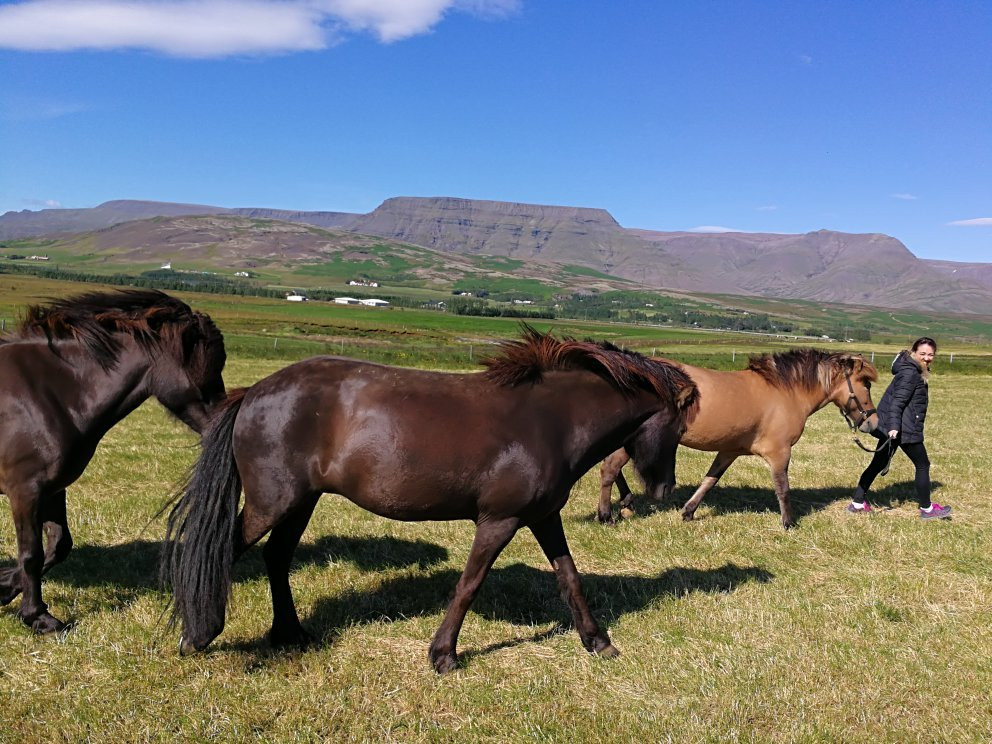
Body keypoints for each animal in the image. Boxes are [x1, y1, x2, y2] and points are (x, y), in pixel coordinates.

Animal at [0, 290, 227, 632]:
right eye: (205, 368)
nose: (225, 422)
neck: (47, 394)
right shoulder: (25, 491)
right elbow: (31, 554)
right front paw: (37, 616)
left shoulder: (52, 489)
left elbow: (58, 545)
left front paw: (2, 589)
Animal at [165, 326, 696, 676]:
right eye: (679, 429)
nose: (664, 490)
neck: (550, 420)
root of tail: (254, 392)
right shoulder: (499, 520)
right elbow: (468, 586)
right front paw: (443, 656)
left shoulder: (543, 517)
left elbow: (570, 578)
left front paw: (598, 641)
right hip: (272, 503)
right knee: (221, 551)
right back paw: (197, 635)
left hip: (301, 502)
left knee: (276, 557)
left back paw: (289, 634)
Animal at [596, 348, 876, 528]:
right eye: (866, 384)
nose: (872, 422)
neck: (785, 392)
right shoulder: (780, 453)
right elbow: (783, 489)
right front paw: (788, 523)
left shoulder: (730, 451)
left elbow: (710, 481)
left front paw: (688, 512)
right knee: (609, 469)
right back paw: (607, 514)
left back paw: (625, 503)